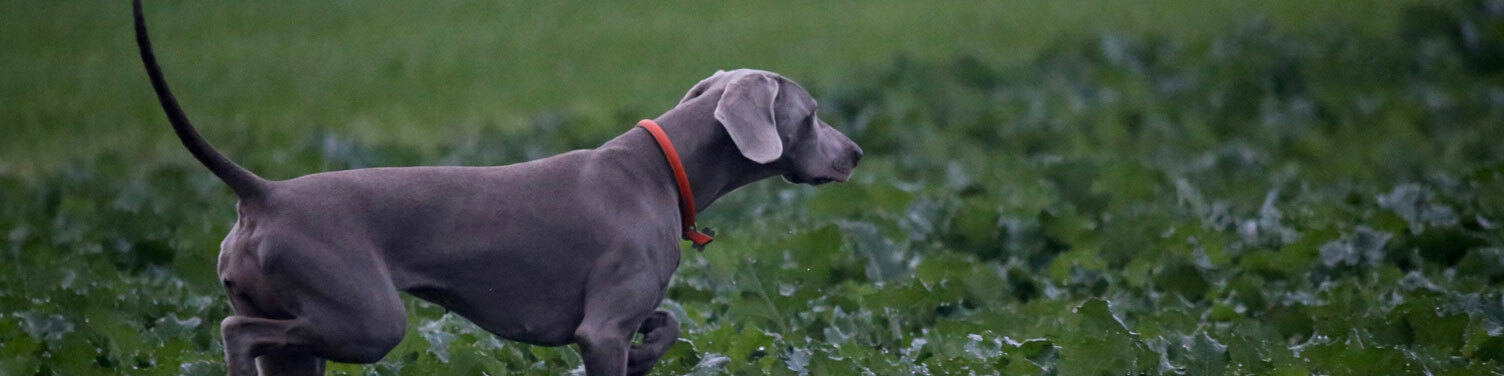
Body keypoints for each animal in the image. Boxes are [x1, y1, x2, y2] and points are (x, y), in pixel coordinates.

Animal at [138, 1, 872, 374]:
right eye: (812, 115)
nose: (859, 153)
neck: (660, 171)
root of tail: (264, 192)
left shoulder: (615, 315)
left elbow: (670, 321)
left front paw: (652, 349)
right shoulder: (600, 330)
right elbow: (624, 340)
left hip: (303, 333)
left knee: (264, 339)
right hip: (365, 317)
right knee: (237, 330)